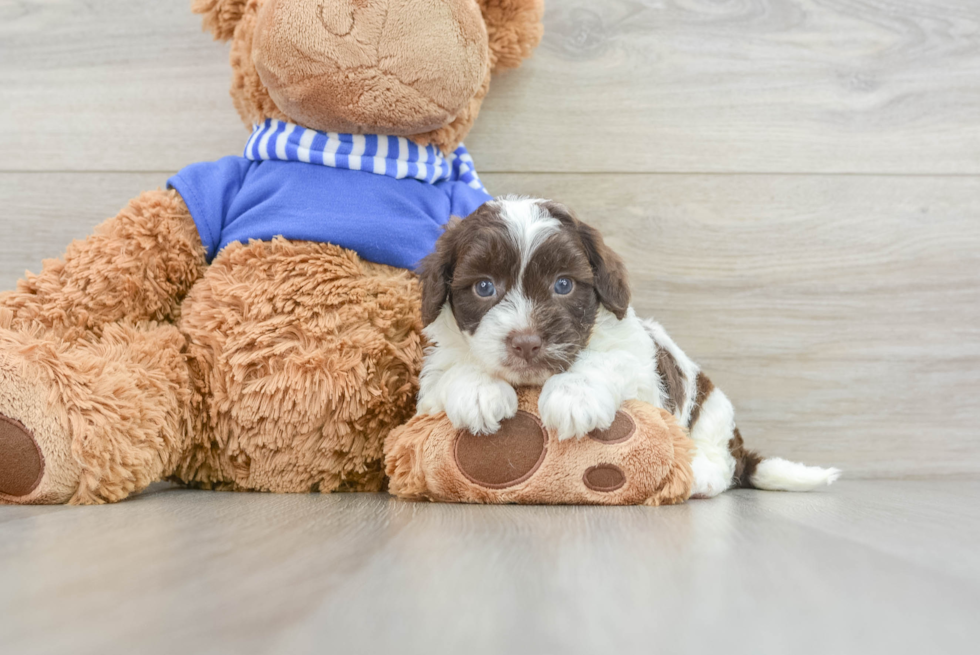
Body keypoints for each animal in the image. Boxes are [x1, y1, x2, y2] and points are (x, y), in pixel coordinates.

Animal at [418, 196, 840, 498]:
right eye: (484, 287)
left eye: (563, 284)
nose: (526, 342)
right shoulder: (431, 380)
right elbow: (450, 370)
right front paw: (478, 390)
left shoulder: (642, 372)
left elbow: (607, 360)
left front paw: (574, 395)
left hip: (713, 409)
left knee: (720, 458)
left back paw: (700, 475)